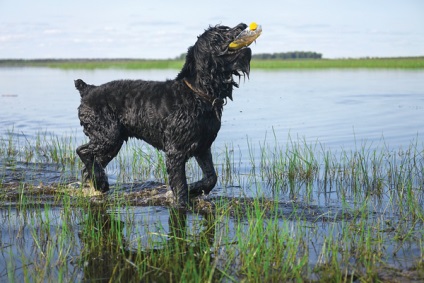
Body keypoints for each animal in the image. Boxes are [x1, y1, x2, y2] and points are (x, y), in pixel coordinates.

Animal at [76, 22, 253, 206]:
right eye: (219, 33)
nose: (242, 25)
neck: (198, 94)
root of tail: (88, 89)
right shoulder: (176, 152)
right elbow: (180, 186)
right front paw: (182, 201)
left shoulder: (203, 146)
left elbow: (211, 178)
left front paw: (194, 189)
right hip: (108, 137)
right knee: (83, 152)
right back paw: (101, 183)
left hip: (111, 143)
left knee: (90, 166)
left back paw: (97, 185)